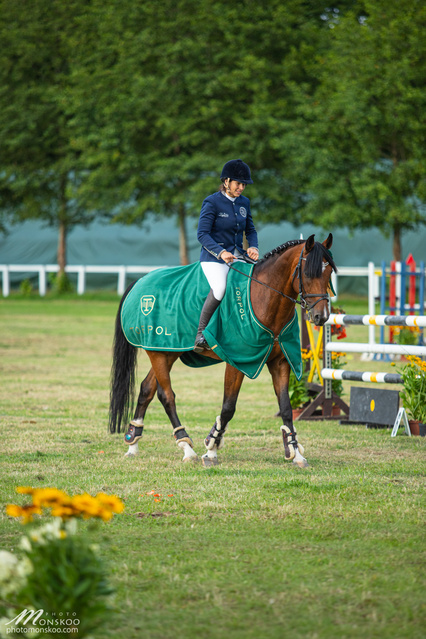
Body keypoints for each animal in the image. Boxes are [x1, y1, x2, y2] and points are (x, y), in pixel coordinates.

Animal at [109, 235, 336, 470]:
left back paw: (133, 444)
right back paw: (186, 447)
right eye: (307, 273)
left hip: (168, 351)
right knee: (166, 395)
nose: (321, 317)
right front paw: (211, 449)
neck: (263, 296)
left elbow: (286, 408)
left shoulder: (280, 362)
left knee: (147, 389)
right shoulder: (237, 361)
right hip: (158, 352)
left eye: (329, 272)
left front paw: (295, 452)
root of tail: (140, 281)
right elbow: (228, 407)